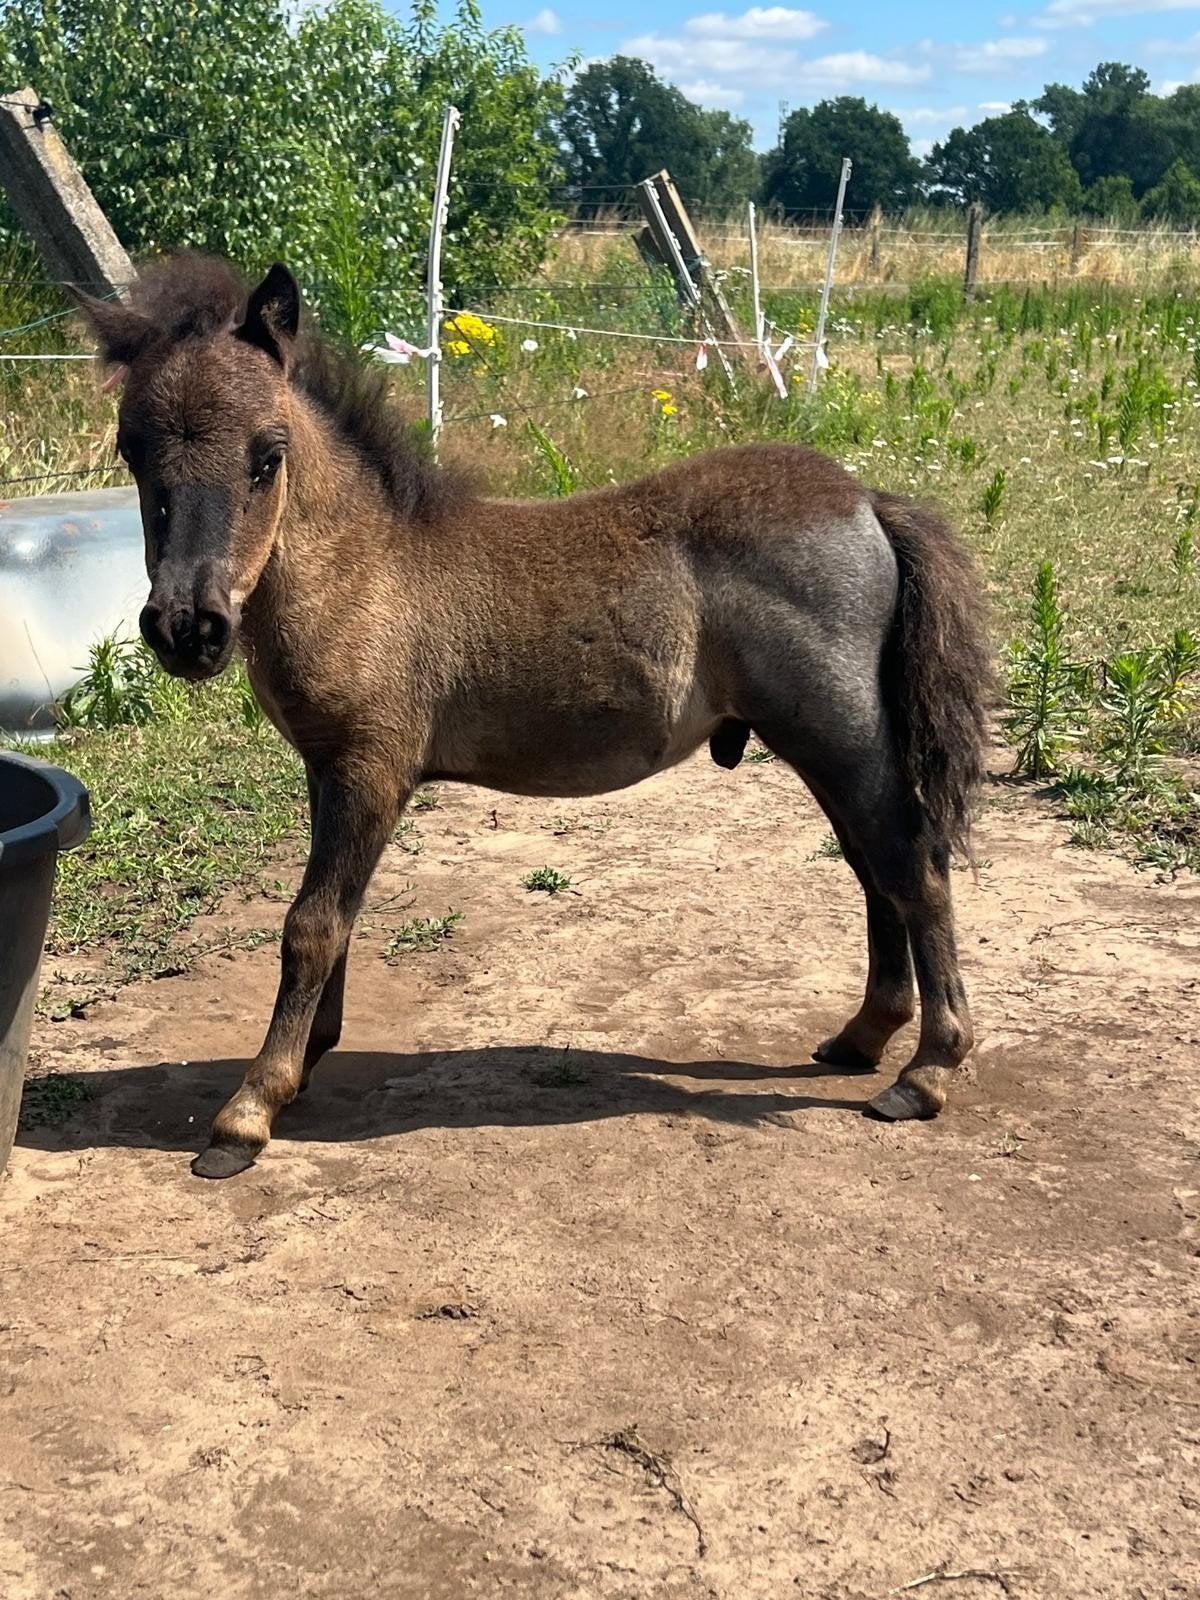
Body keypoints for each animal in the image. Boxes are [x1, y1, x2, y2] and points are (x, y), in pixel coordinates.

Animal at [71, 255, 992, 1180]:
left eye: (268, 455)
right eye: (130, 449)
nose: (187, 627)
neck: (364, 566)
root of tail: (867, 499)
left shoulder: (372, 770)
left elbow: (312, 925)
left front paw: (250, 1109)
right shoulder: (326, 769)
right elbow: (339, 917)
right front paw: (310, 1056)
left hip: (839, 734)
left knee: (914, 866)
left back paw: (926, 1072)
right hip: (822, 743)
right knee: (874, 869)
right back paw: (862, 1037)